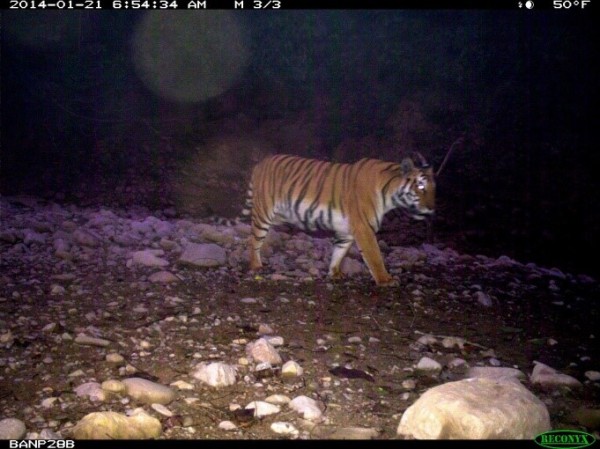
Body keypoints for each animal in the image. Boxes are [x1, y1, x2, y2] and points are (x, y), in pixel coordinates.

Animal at [244, 154, 436, 286]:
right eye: (420, 186)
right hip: (263, 214)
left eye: (434, 188)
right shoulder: (364, 227)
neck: (389, 193)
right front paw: (386, 280)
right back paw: (256, 266)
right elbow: (375, 256)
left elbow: (339, 251)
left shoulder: (347, 229)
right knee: (253, 240)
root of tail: (260, 163)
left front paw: (334, 273)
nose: (432, 208)